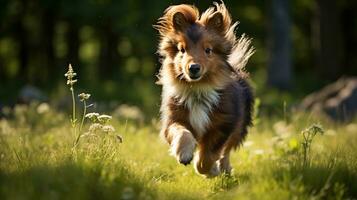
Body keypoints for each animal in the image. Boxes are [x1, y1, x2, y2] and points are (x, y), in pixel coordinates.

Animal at [153, 1, 253, 177]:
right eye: (182, 49)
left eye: (208, 50)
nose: (193, 68)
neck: (197, 89)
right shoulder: (174, 118)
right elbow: (181, 133)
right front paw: (184, 154)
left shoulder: (223, 125)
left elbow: (208, 155)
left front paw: (210, 170)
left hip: (239, 126)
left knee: (226, 152)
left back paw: (224, 169)